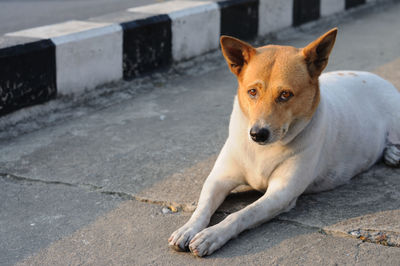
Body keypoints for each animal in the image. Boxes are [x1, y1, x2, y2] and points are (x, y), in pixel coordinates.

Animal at [167, 29, 398, 258]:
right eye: (252, 92)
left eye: (285, 94)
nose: (257, 134)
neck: (263, 150)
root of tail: (378, 78)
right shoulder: (218, 179)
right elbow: (202, 207)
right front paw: (188, 228)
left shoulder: (281, 193)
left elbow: (242, 214)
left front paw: (212, 235)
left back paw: (394, 154)